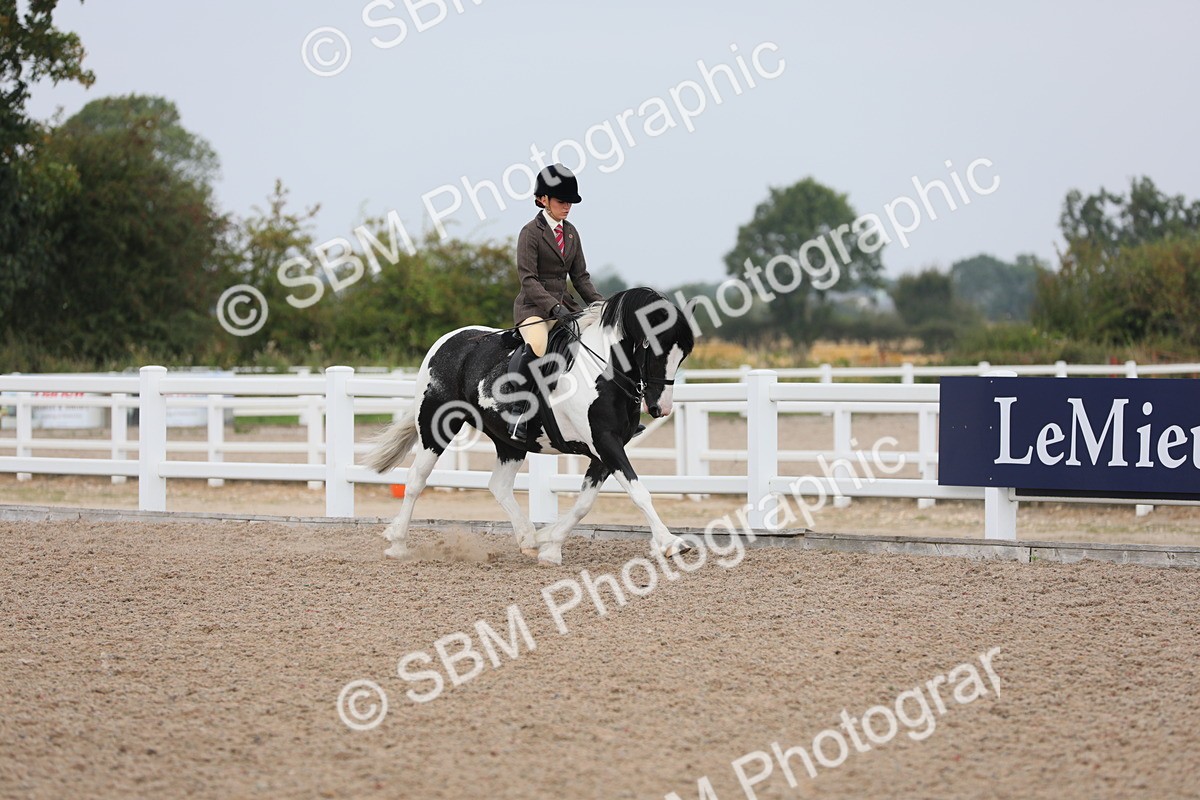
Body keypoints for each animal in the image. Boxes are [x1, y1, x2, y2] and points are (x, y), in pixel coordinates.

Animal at [364, 287, 696, 565]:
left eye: (683, 355)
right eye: (651, 346)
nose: (661, 408)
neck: (603, 373)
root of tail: (448, 340)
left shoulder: (604, 450)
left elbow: (584, 503)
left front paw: (549, 544)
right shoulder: (605, 442)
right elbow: (638, 492)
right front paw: (670, 543)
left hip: (508, 442)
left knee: (498, 485)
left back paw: (528, 538)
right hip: (437, 426)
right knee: (416, 480)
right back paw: (397, 543)